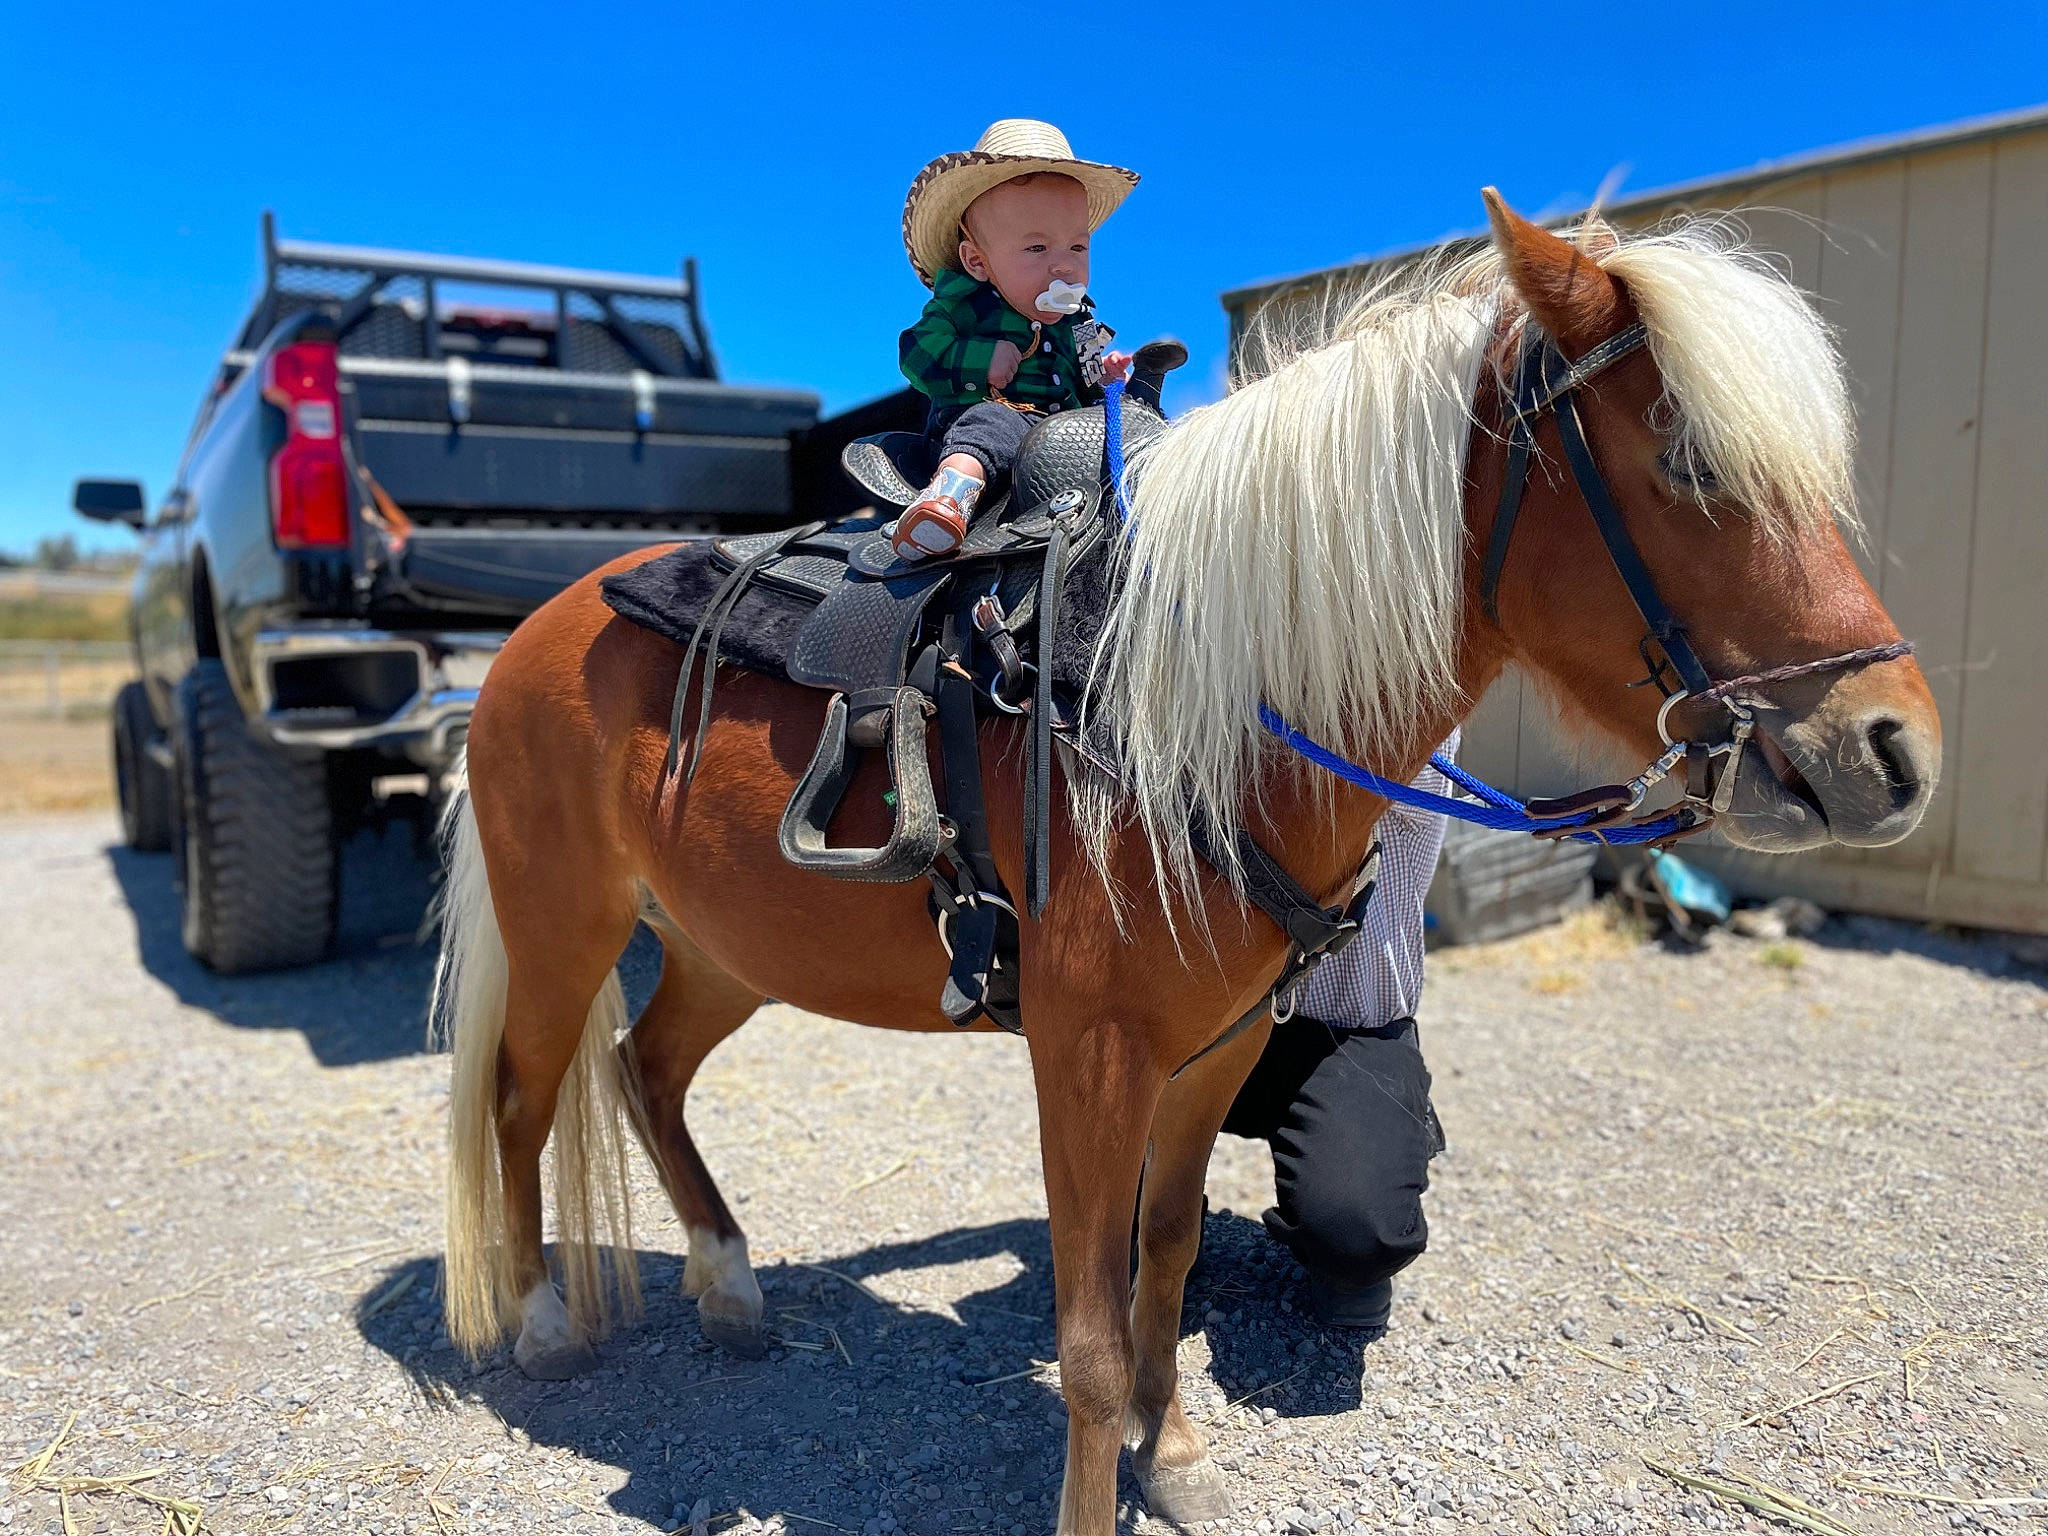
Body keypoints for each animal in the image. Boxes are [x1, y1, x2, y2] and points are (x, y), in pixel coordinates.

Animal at [431, 193, 1938, 1535]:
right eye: (1687, 462)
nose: (1895, 751)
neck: (1182, 699)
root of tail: (530, 629)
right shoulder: (1086, 1057)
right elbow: (1091, 1338)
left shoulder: (1212, 1048)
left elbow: (1165, 1262)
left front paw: (1177, 1456)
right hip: (567, 923)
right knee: (522, 1099)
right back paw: (547, 1320)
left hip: (721, 945)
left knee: (645, 1070)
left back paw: (730, 1285)